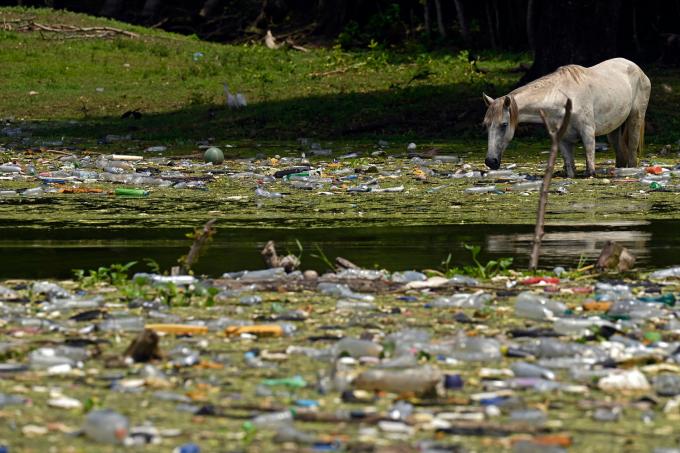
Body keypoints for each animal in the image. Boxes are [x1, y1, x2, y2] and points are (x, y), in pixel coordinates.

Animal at [480, 57, 652, 177]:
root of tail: (637, 69)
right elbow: (570, 170)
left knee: (632, 152)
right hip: (614, 129)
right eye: (485, 125)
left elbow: (590, 169)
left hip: (635, 119)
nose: (490, 161)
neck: (563, 98)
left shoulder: (588, 133)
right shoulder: (562, 139)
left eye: (504, 124)